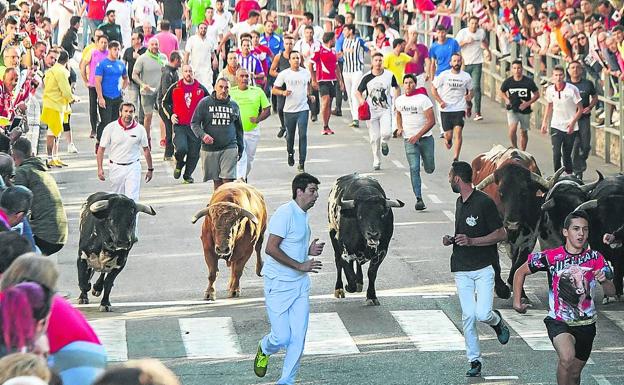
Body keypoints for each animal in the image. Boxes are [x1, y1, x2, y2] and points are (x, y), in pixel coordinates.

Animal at [326, 172, 404, 304]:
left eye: (382, 214)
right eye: (360, 215)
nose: (373, 234)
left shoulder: (382, 251)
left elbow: (372, 273)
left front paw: (371, 296)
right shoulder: (345, 252)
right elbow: (348, 273)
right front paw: (349, 286)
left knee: (357, 263)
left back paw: (359, 282)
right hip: (333, 235)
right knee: (338, 263)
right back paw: (339, 289)